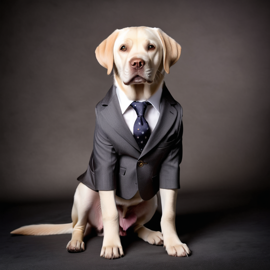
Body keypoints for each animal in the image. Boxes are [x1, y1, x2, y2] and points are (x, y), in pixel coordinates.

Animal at [10, 26, 191, 260]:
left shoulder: (171, 160)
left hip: (150, 200)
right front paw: (111, 245)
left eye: (151, 47)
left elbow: (168, 214)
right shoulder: (105, 160)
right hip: (85, 192)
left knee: (135, 227)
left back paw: (151, 234)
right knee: (80, 226)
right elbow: (110, 212)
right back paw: (77, 241)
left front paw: (173, 242)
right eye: (123, 48)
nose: (137, 63)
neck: (139, 100)